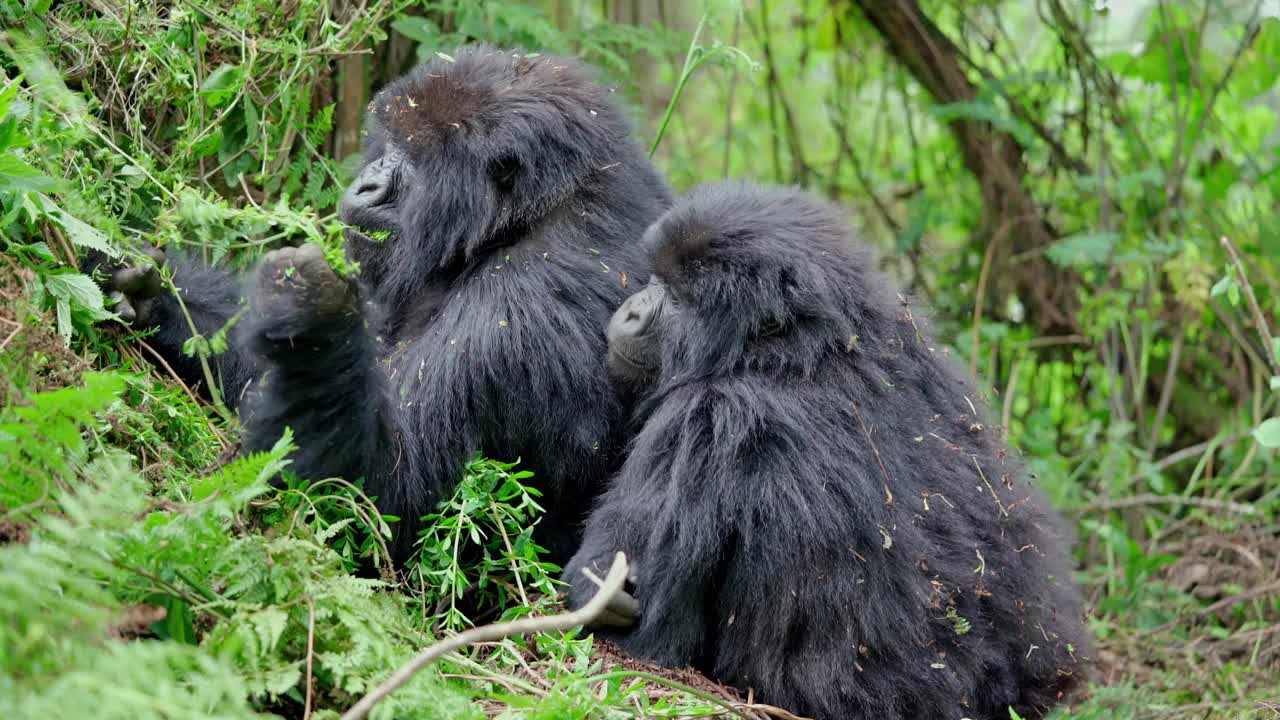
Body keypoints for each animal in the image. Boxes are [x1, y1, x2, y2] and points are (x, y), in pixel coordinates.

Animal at [99, 49, 670, 566]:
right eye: (389, 142)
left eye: (412, 158)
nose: (368, 182)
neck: (537, 208)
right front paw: (152, 291)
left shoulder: (525, 305)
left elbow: (381, 499)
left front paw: (312, 321)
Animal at [568, 180, 1090, 717]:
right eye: (656, 277)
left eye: (676, 297)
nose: (631, 309)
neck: (802, 352)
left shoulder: (705, 420)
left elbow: (626, 619)